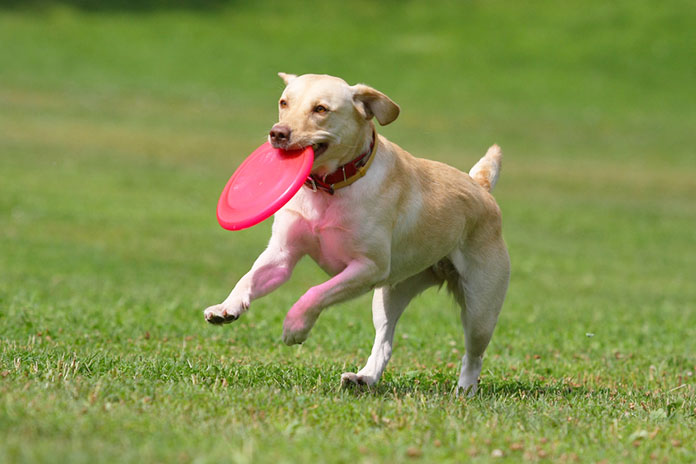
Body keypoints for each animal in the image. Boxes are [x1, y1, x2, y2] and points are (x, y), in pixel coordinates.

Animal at [204, 72, 508, 396]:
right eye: (283, 103)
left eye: (321, 109)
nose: (278, 133)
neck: (330, 187)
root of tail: (481, 187)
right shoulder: (282, 255)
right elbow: (248, 277)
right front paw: (226, 307)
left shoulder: (367, 268)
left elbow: (315, 293)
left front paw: (295, 326)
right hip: (390, 294)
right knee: (385, 341)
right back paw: (365, 378)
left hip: (480, 308)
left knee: (474, 355)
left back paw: (465, 390)